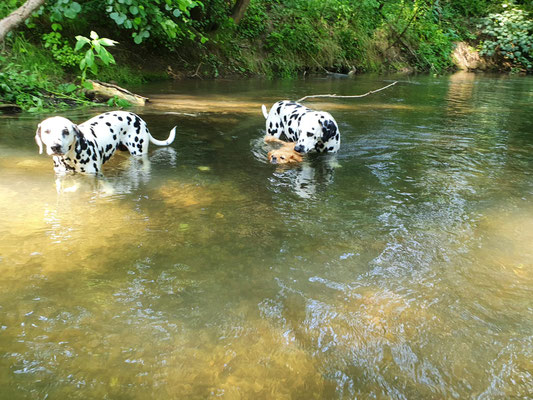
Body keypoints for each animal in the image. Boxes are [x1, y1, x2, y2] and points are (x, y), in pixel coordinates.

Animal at [35, 110, 177, 174]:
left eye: (65, 131)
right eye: (47, 131)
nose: (55, 146)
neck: (71, 158)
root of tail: (140, 120)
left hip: (138, 152)